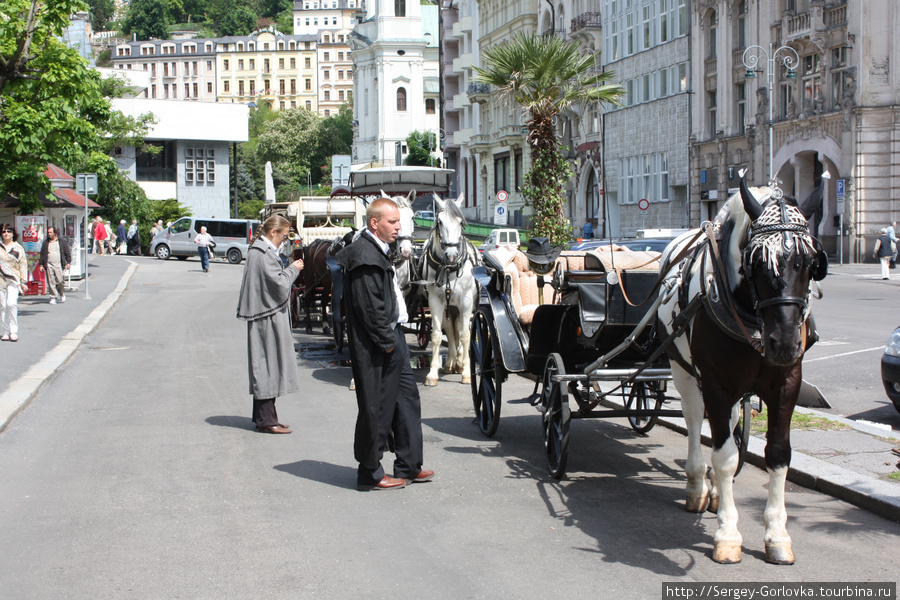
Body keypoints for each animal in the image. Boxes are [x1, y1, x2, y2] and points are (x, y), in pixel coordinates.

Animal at [418, 195, 482, 386]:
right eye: (439, 221)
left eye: (460, 223)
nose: (452, 256)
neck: (448, 269)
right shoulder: (435, 302)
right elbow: (437, 335)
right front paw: (432, 373)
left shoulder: (466, 302)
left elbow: (465, 335)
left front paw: (467, 372)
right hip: (449, 307)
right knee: (450, 329)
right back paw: (451, 362)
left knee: (460, 328)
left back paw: (459, 362)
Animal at [656, 172, 828, 564]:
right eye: (757, 263)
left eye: (812, 262)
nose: (784, 343)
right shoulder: (715, 384)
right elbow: (723, 456)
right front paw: (727, 533)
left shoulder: (787, 384)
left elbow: (777, 455)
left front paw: (777, 535)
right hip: (683, 369)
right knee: (693, 421)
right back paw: (696, 484)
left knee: (731, 422)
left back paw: (717, 492)